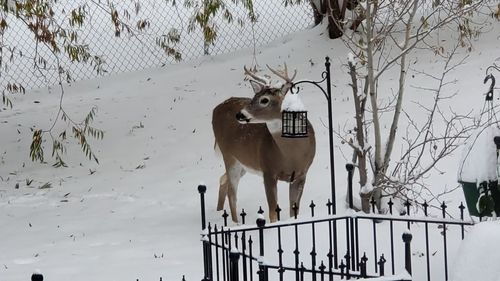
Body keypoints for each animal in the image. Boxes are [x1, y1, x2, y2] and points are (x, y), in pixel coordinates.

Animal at [212, 64, 316, 222]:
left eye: (264, 100)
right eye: (254, 97)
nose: (240, 114)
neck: (290, 156)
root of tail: (216, 108)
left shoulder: (302, 174)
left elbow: (294, 210)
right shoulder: (268, 170)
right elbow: (272, 211)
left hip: (243, 162)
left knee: (223, 179)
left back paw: (219, 212)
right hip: (229, 156)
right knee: (232, 192)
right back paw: (236, 224)